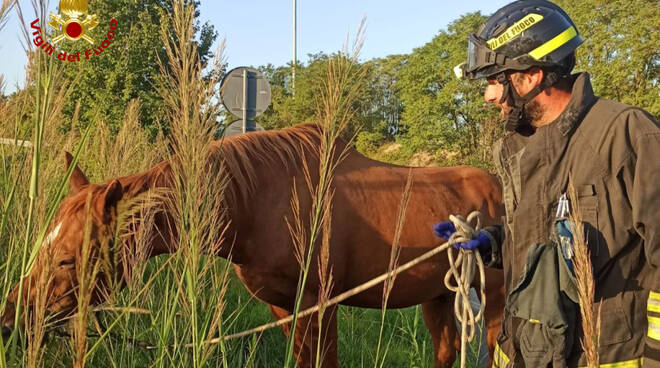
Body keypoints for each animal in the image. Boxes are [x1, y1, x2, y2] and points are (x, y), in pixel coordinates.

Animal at [1, 124, 506, 368]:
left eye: (66, 258)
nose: (10, 319)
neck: (257, 202)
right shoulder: (284, 308)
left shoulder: (320, 304)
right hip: (438, 296)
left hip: (494, 298)